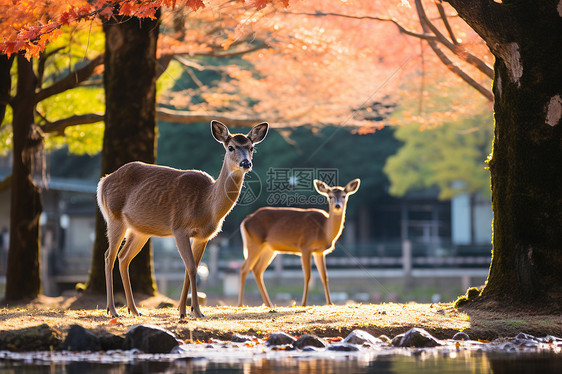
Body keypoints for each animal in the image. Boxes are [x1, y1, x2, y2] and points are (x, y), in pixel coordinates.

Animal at [97, 120, 268, 318]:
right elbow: (192, 268)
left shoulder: (203, 236)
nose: (246, 163)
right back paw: (112, 310)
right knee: (109, 256)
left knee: (123, 257)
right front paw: (196, 312)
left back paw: (134, 310)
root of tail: (103, 182)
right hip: (114, 218)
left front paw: (183, 310)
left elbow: (191, 268)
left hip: (140, 230)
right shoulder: (179, 228)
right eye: (230, 147)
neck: (206, 205)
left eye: (251, 147)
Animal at [236, 178, 358, 306]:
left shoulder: (320, 251)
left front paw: (330, 303)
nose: (337, 206)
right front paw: (303, 303)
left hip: (269, 248)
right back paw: (240, 304)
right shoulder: (305, 246)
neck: (324, 230)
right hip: (254, 243)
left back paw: (269, 304)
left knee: (257, 269)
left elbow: (324, 276)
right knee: (244, 268)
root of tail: (245, 220)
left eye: (344, 196)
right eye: (330, 196)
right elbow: (307, 275)